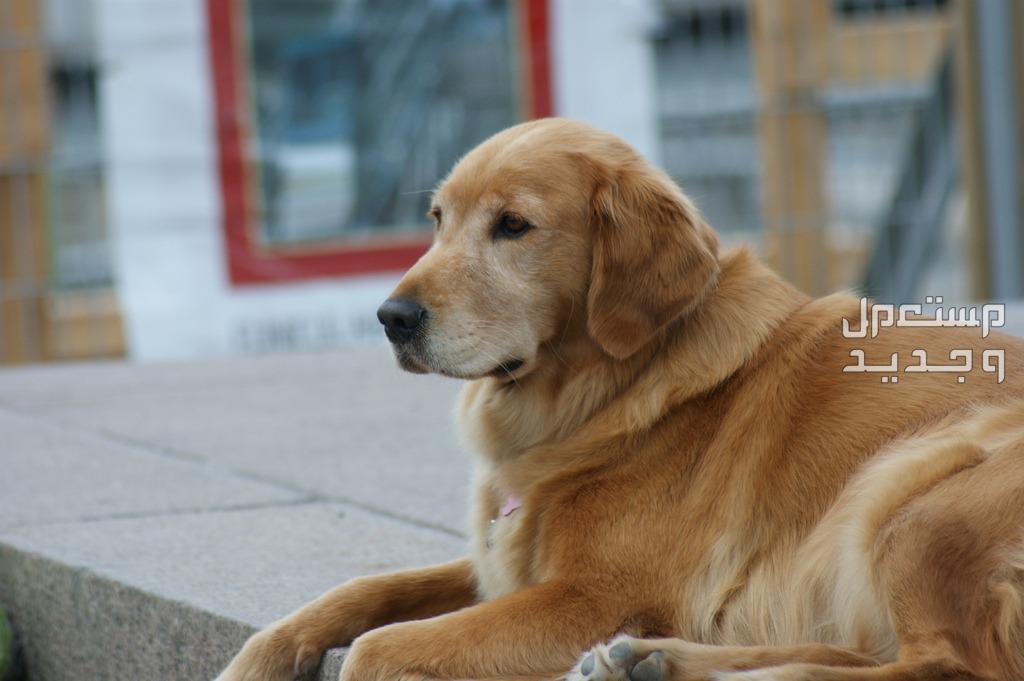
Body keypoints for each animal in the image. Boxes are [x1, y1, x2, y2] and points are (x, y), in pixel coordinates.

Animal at [216, 118, 1024, 679]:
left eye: (513, 225)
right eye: (438, 220)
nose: (391, 317)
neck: (607, 397)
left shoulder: (594, 595)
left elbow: (376, 647)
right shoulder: (501, 563)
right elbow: (357, 592)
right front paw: (259, 658)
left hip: (913, 487)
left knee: (948, 666)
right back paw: (656, 660)